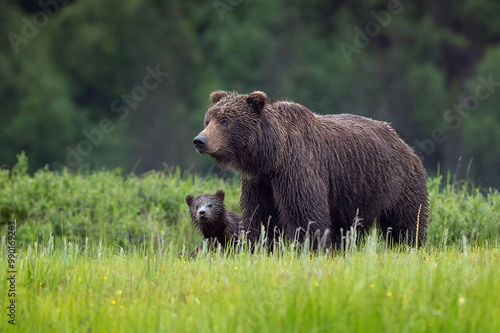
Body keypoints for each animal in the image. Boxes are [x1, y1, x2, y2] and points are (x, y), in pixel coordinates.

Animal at [193, 90, 428, 246]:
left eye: (225, 120)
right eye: (208, 119)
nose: (200, 140)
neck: (272, 155)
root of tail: (402, 141)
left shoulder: (299, 168)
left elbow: (305, 213)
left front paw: (309, 247)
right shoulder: (260, 181)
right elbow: (261, 216)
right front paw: (262, 245)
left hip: (398, 182)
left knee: (405, 221)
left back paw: (409, 245)